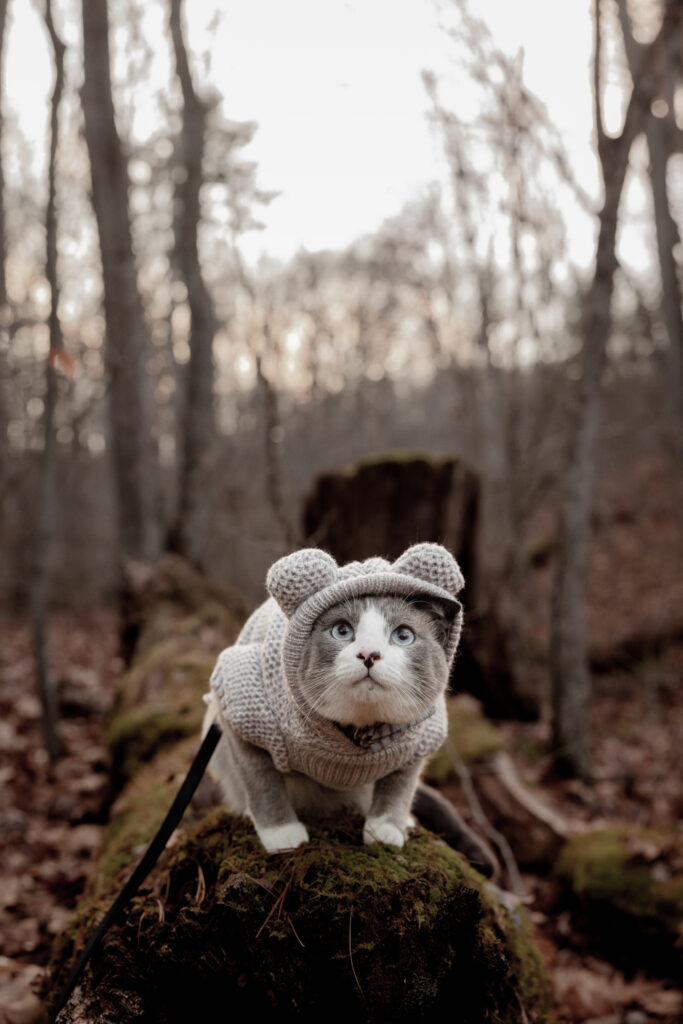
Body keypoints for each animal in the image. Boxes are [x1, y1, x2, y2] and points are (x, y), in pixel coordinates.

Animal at [202, 548, 497, 876]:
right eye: (342, 631)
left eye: (403, 635)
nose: (369, 654)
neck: (359, 733)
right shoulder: (241, 709)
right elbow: (262, 781)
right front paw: (283, 835)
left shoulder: (421, 740)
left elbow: (400, 785)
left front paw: (385, 830)